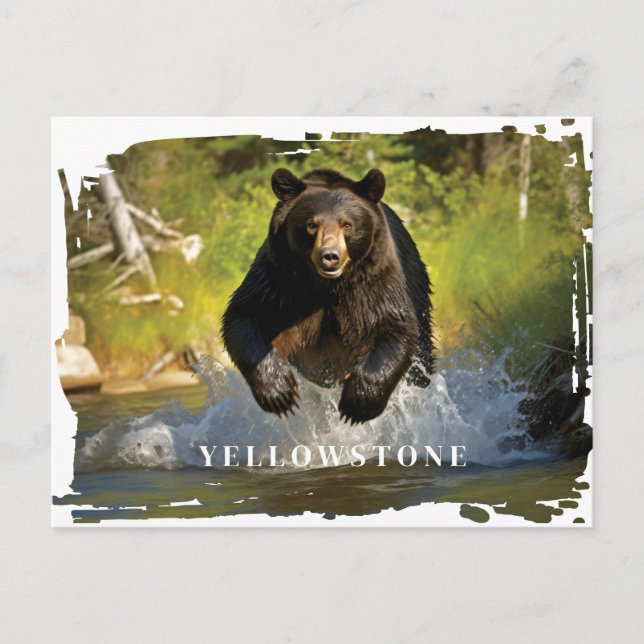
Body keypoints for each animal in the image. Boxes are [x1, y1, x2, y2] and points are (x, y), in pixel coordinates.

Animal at [221, 167, 434, 424]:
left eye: (347, 224)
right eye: (312, 224)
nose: (330, 256)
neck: (327, 286)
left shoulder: (373, 281)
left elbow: (394, 325)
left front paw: (358, 404)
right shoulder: (279, 280)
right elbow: (245, 315)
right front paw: (279, 391)